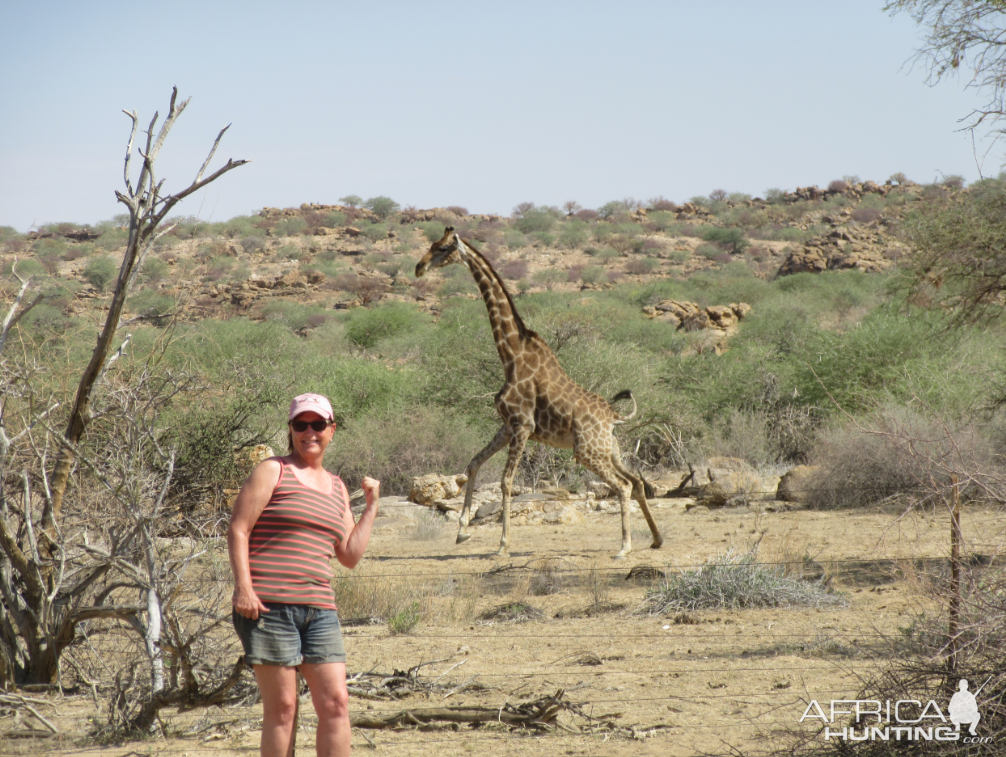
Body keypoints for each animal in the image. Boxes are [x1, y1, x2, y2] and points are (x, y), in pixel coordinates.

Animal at [412, 227, 663, 559]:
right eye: (432, 244)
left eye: (442, 248)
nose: (419, 267)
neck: (511, 356)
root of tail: (614, 417)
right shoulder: (507, 425)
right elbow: (473, 463)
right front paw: (462, 531)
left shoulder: (523, 425)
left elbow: (506, 482)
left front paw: (502, 545)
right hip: (609, 448)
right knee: (636, 481)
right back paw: (656, 539)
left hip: (586, 451)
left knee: (623, 485)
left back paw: (624, 547)